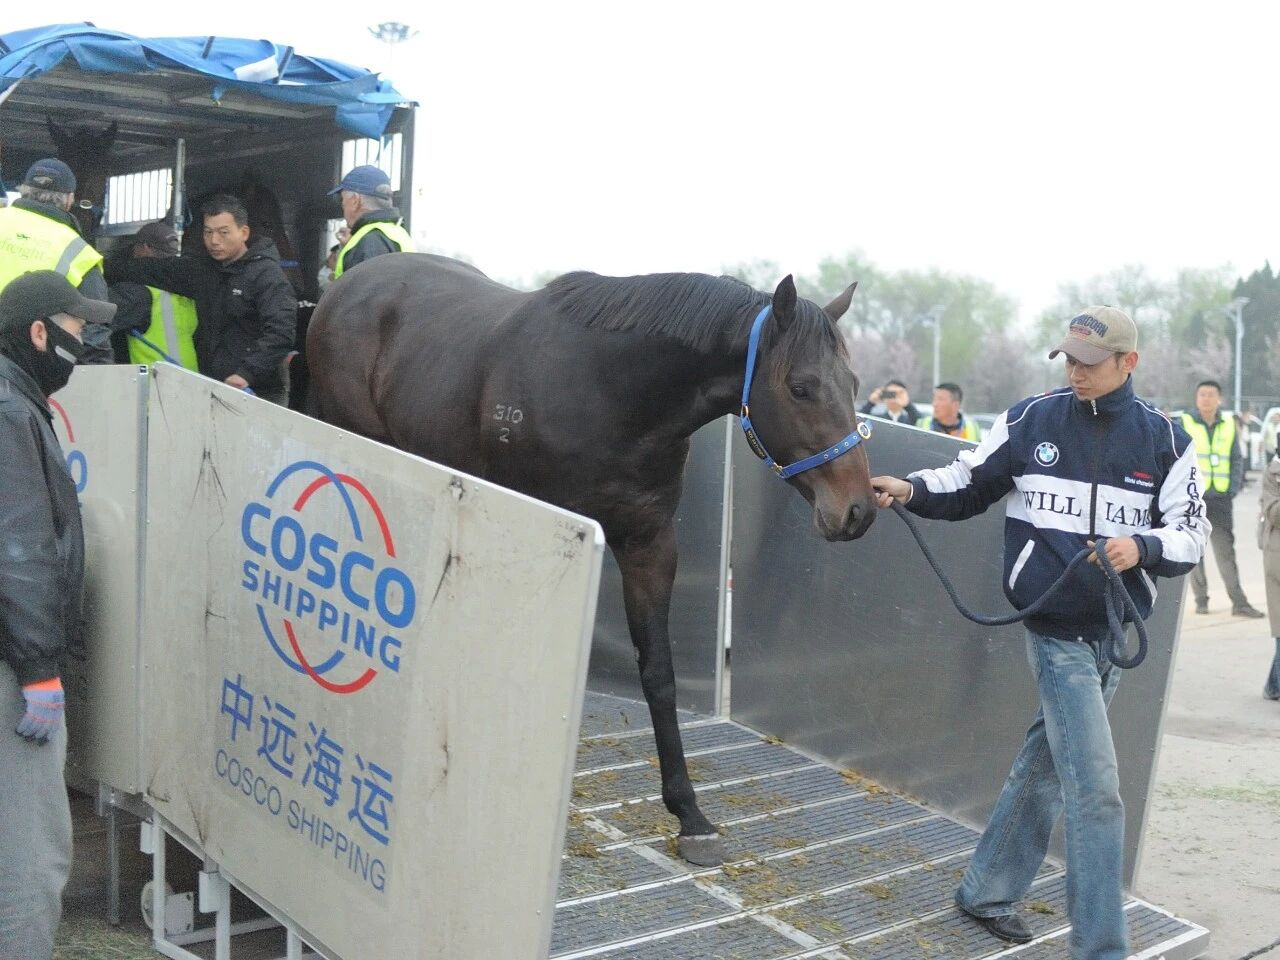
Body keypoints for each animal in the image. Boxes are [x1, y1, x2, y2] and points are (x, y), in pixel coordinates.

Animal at [307, 254, 877, 866]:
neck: (609, 390)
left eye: (852, 384)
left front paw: (690, 815)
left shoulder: (649, 545)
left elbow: (659, 674)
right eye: (800, 387)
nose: (857, 510)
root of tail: (348, 284)